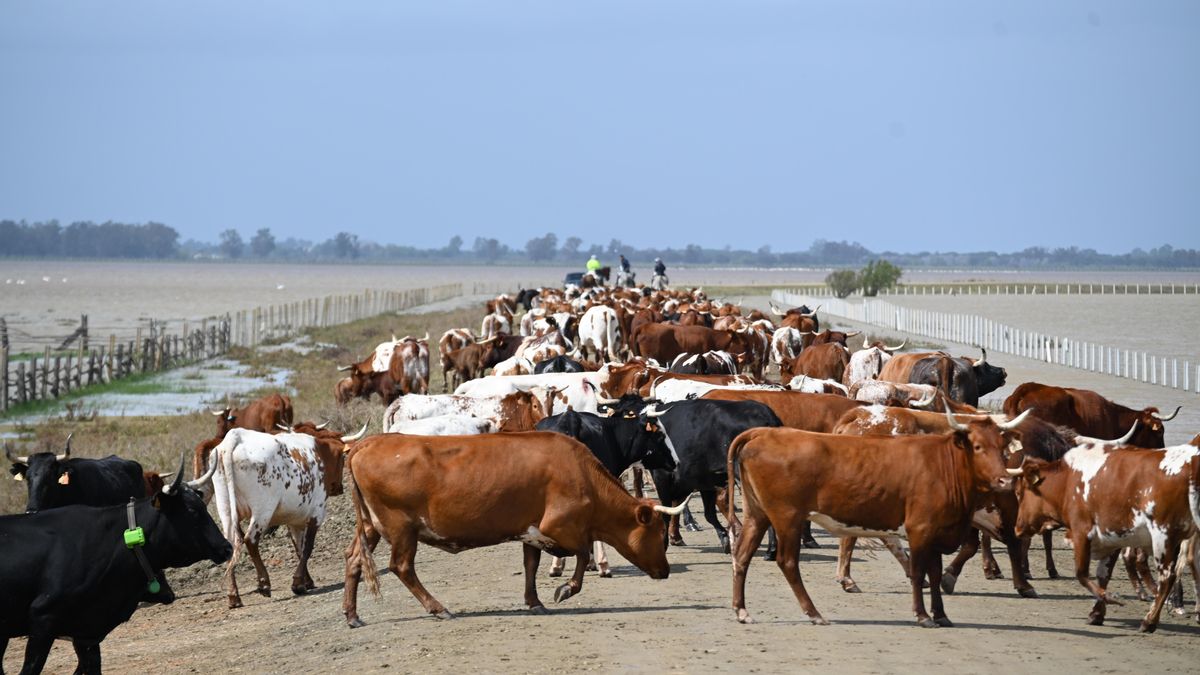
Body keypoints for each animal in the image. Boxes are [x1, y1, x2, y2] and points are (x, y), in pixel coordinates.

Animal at [190, 425, 366, 608]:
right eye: (342, 458)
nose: (339, 488)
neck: (320, 452)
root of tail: (234, 437)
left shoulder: (294, 521)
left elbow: (299, 548)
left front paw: (306, 582)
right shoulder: (316, 514)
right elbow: (307, 548)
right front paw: (298, 584)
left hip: (226, 509)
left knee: (230, 544)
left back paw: (234, 596)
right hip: (262, 510)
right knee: (251, 540)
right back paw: (264, 583)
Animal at [340, 432, 686, 626]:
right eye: (657, 535)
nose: (665, 571)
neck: (582, 474)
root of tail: (367, 443)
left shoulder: (530, 531)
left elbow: (531, 565)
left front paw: (535, 602)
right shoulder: (559, 525)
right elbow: (582, 553)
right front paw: (566, 590)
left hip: (370, 527)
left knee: (354, 560)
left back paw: (353, 615)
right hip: (400, 528)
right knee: (401, 566)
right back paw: (438, 608)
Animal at [727, 409, 1028, 627]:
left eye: (1002, 447)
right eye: (976, 446)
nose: (1004, 480)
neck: (943, 465)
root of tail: (762, 433)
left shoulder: (937, 532)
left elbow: (934, 573)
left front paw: (941, 614)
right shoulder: (920, 530)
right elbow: (919, 573)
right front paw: (923, 616)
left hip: (756, 514)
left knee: (741, 557)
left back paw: (741, 611)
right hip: (787, 517)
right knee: (788, 562)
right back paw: (813, 613)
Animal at [1014, 441, 1200, 632]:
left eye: (1019, 492)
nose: (1017, 528)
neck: (1067, 481)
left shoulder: (1082, 531)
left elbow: (1081, 574)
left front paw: (1108, 598)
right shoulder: (1112, 538)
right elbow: (1103, 574)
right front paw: (1097, 613)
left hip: (1163, 535)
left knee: (1167, 577)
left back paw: (1149, 621)